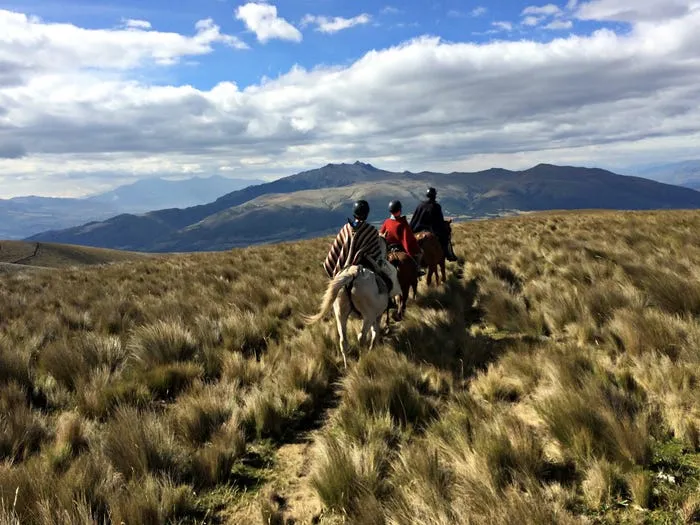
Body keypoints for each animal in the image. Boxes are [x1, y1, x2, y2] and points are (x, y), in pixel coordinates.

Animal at [304, 238, 402, 368]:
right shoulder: (377, 315)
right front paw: (373, 348)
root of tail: (353, 274)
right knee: (361, 337)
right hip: (368, 316)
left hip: (340, 314)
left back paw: (346, 365)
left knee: (343, 340)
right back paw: (363, 358)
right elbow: (375, 331)